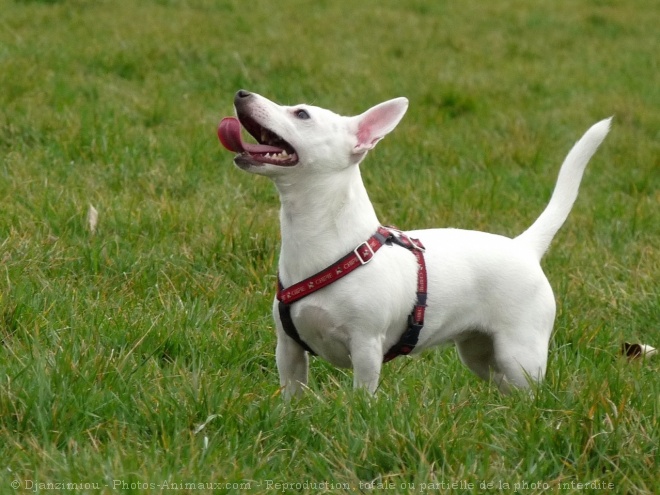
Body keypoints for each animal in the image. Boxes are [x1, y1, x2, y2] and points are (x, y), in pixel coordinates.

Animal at [219, 90, 612, 400]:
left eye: (301, 114)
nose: (241, 93)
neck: (320, 239)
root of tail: (524, 247)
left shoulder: (366, 348)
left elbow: (362, 396)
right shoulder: (288, 351)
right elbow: (292, 396)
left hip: (520, 354)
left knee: (530, 392)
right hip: (479, 353)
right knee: (504, 386)